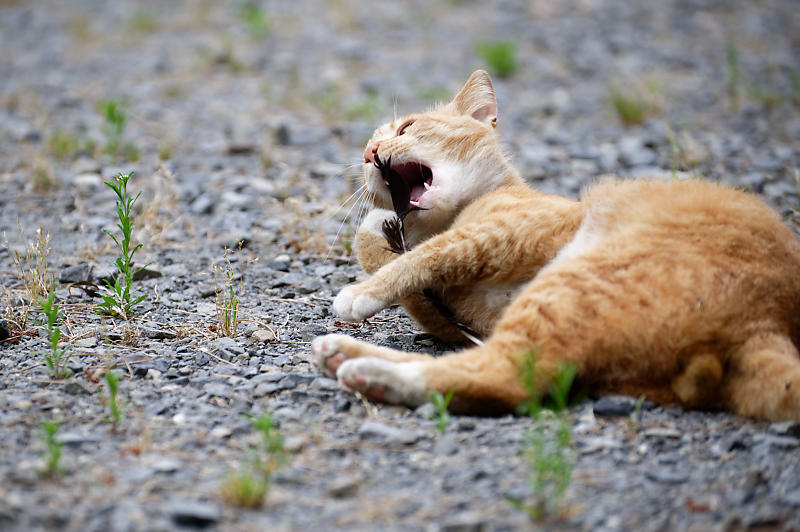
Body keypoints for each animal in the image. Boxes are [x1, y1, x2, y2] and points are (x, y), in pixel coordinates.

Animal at [310, 69, 800, 420]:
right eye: (367, 150)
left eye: (407, 127)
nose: (370, 154)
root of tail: (765, 323)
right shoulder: (454, 310)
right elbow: (384, 251)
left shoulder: (505, 233)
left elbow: (426, 254)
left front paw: (360, 293)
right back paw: (347, 357)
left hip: (570, 288)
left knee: (503, 377)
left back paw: (365, 371)